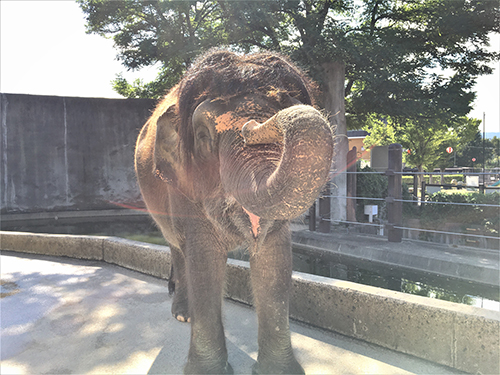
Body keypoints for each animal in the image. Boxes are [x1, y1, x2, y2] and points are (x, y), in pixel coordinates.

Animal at [135, 48, 334, 374]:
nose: (251, 126)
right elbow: (204, 259)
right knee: (178, 247)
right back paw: (183, 314)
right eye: (203, 136)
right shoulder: (184, 186)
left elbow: (275, 261)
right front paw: (208, 371)